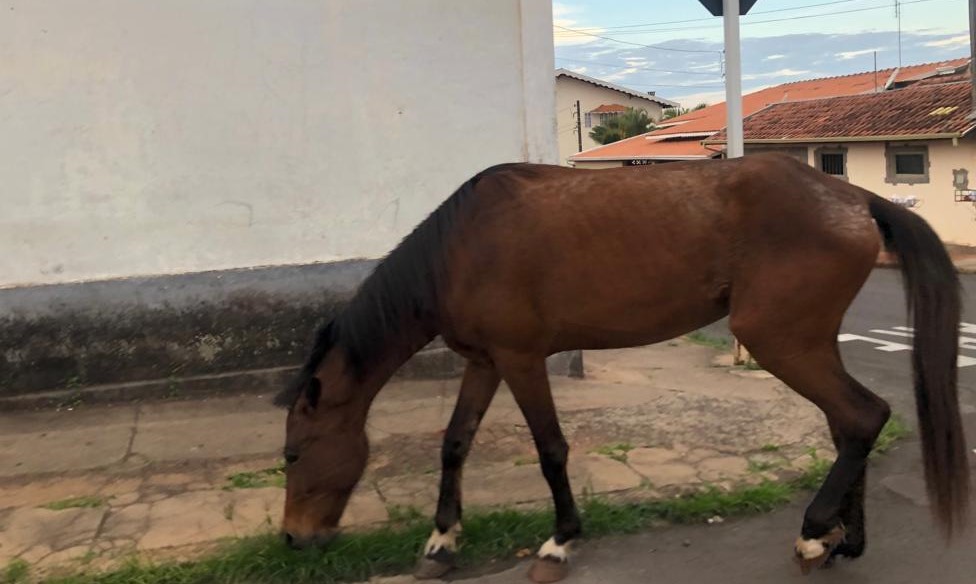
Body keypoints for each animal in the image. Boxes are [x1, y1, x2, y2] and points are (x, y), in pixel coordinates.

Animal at [274, 153, 968, 582]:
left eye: (293, 454)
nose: (293, 539)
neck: (460, 247)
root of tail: (854, 197)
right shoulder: (486, 363)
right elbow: (454, 443)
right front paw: (442, 542)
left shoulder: (523, 361)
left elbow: (550, 449)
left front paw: (558, 542)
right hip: (808, 343)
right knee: (849, 423)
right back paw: (841, 541)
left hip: (780, 342)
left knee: (862, 417)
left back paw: (812, 534)